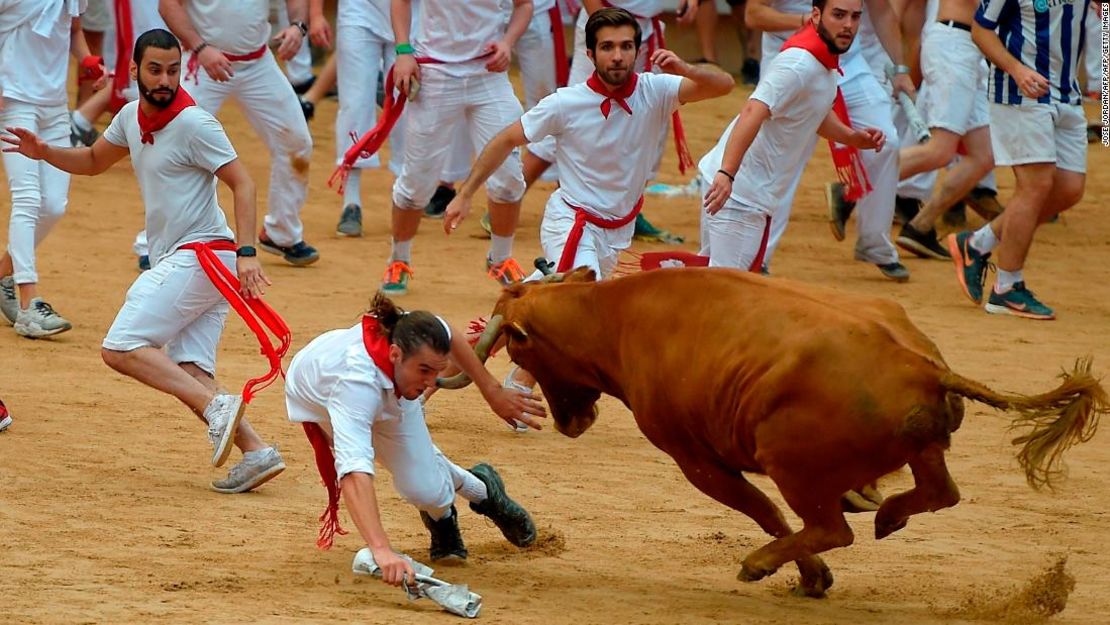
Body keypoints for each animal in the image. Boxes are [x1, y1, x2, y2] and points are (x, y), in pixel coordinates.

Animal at [448, 266, 1101, 599]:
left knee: (831, 527)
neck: (614, 317)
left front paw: (805, 574)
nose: (570, 421)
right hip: (922, 449)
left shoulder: (694, 457)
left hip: (791, 463)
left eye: (523, 351)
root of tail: (923, 365)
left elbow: (762, 510)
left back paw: (766, 563)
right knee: (939, 492)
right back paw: (887, 514)